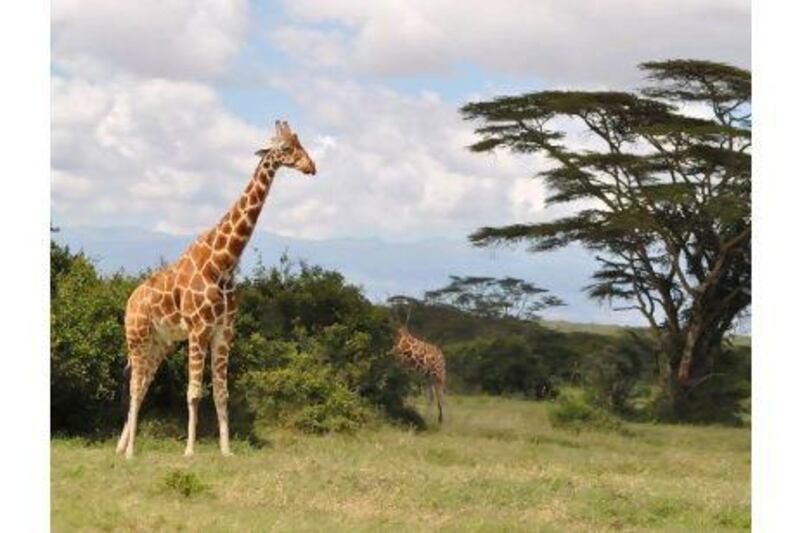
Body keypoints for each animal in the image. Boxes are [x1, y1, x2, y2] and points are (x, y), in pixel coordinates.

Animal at [115, 120, 316, 458]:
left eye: (302, 144)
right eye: (287, 148)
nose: (311, 167)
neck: (222, 263)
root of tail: (130, 300)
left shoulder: (224, 330)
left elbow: (221, 393)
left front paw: (226, 450)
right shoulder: (199, 329)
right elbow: (194, 392)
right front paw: (189, 451)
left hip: (161, 342)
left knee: (143, 385)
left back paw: (121, 447)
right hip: (137, 336)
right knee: (134, 385)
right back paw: (130, 452)